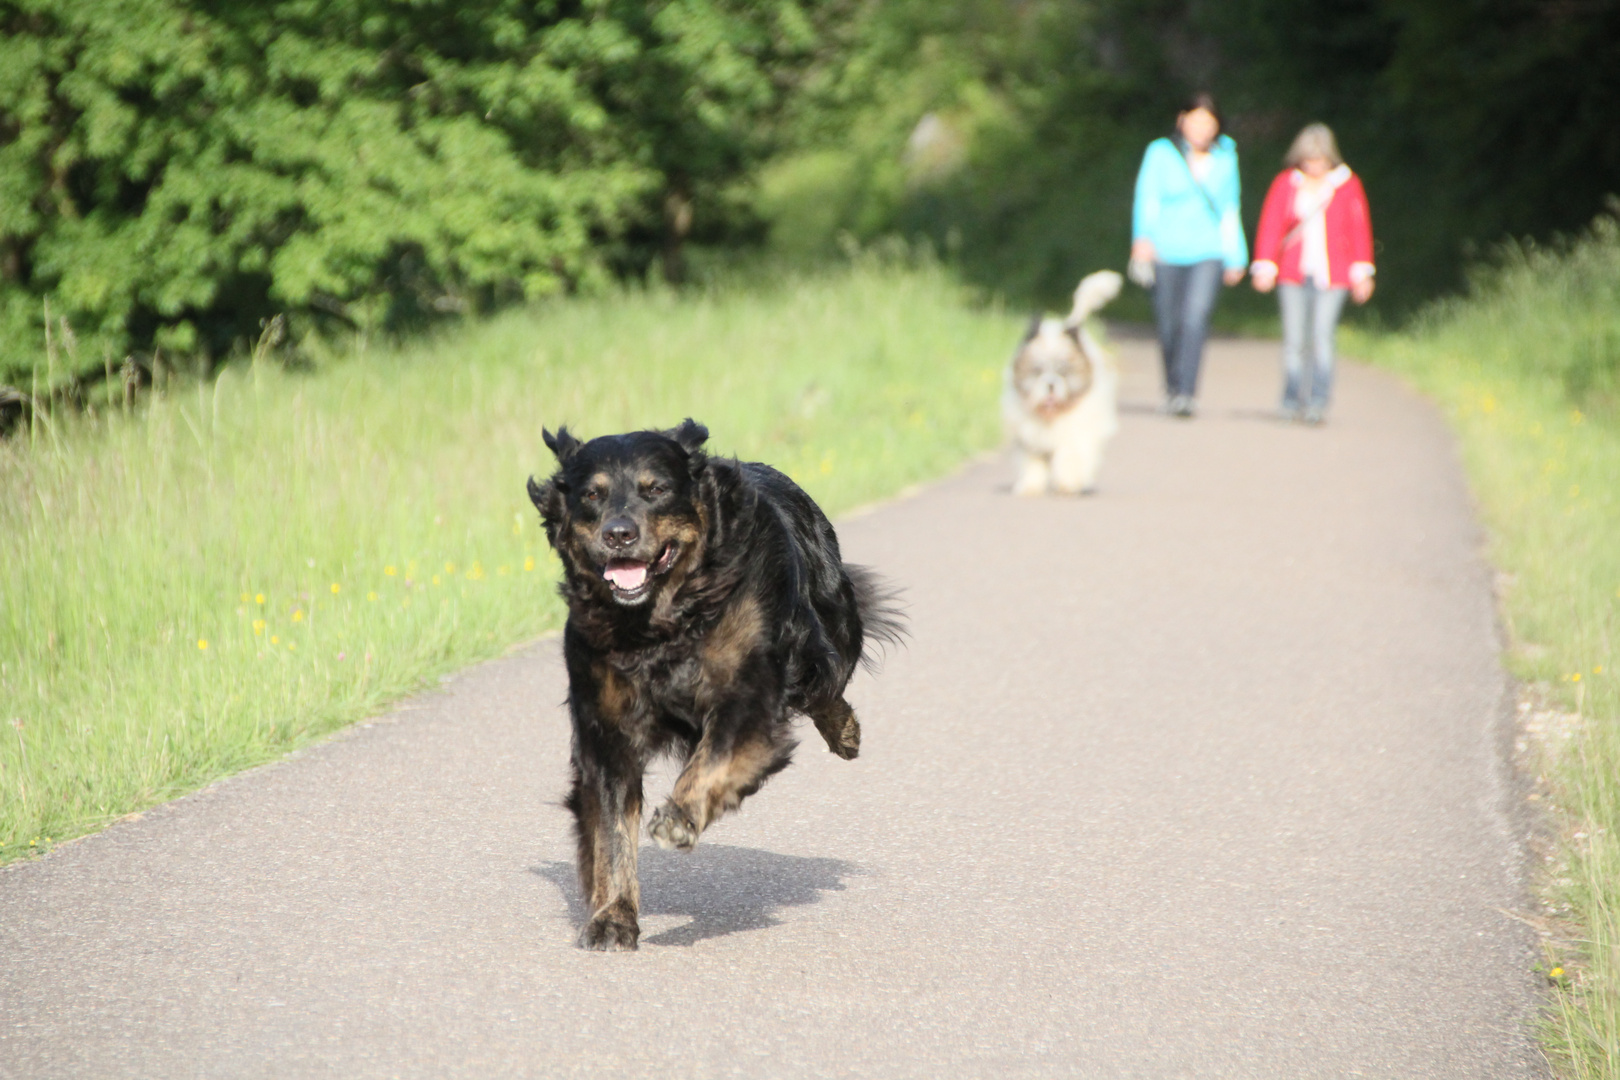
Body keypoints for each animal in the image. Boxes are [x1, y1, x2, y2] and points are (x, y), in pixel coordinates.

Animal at [524, 417, 900, 952]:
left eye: (656, 489)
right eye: (592, 495)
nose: (619, 534)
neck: (659, 623)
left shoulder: (746, 693)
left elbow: (713, 760)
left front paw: (679, 817)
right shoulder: (605, 729)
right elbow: (611, 832)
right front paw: (612, 917)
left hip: (826, 631)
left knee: (826, 684)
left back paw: (845, 732)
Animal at [997, 268, 1127, 495]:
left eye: (1062, 371)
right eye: (1038, 371)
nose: (1050, 384)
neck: (1052, 417)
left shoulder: (1075, 435)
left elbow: (1070, 459)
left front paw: (1069, 484)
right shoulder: (1029, 440)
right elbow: (1032, 464)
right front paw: (1030, 487)